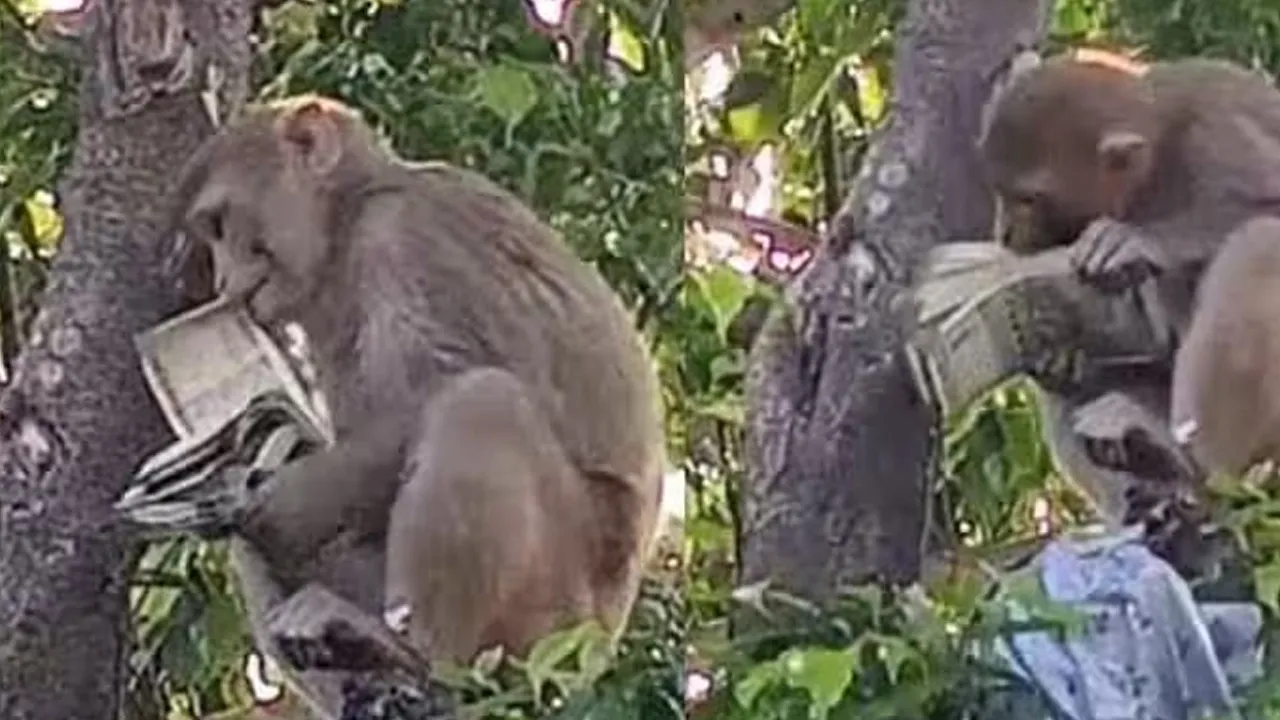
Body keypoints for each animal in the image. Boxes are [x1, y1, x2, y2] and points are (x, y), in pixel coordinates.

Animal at [166, 95, 666, 716]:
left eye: (219, 225)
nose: (224, 280)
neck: (349, 218)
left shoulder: (400, 238)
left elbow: (422, 402)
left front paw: (263, 497)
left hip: (554, 627)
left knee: (480, 403)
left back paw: (411, 656)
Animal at [978, 50, 1280, 521]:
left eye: (1028, 200)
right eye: (1001, 192)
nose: (1005, 234)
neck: (1160, 157)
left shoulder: (1220, 141)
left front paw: (1137, 240)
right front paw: (1060, 348)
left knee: (1259, 244)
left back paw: (1200, 472)